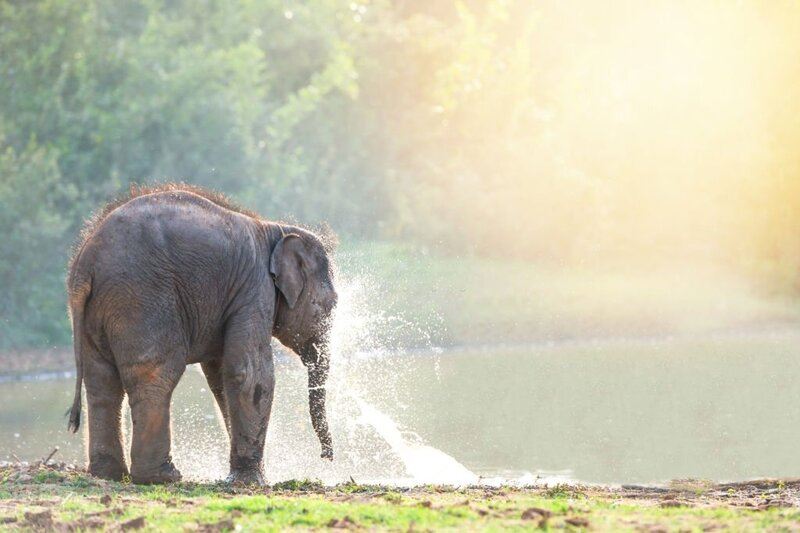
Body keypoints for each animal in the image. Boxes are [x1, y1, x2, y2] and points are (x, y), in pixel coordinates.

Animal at [66, 184, 338, 485]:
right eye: (332, 305)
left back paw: (111, 474)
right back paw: (162, 476)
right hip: (141, 300)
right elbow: (249, 373)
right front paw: (254, 481)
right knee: (156, 374)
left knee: (101, 382)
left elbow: (220, 377)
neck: (275, 229)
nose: (327, 456)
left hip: (97, 313)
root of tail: (86, 263)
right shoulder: (255, 289)